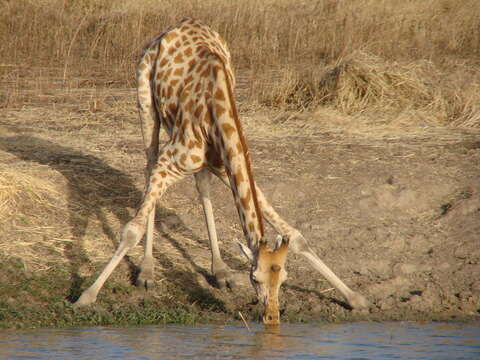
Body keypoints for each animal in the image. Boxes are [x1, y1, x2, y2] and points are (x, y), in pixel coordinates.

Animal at [74, 18, 368, 324]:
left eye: (284, 278)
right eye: (255, 278)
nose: (271, 316)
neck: (216, 107)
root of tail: (171, 29)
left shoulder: (225, 165)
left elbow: (296, 236)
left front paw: (355, 298)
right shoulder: (170, 162)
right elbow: (132, 230)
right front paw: (86, 296)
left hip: (199, 158)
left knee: (201, 186)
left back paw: (220, 270)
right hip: (146, 102)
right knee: (148, 165)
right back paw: (147, 271)